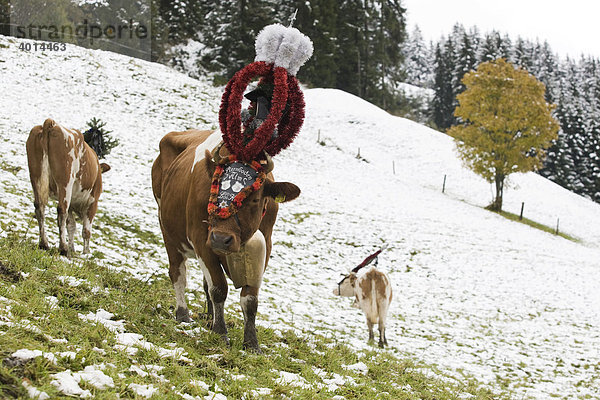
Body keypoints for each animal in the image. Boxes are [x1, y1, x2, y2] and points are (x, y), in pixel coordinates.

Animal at [25, 118, 110, 256]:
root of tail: (51, 124)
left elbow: (71, 226)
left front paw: (72, 248)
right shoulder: (93, 202)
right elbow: (86, 230)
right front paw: (86, 253)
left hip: (35, 176)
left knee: (39, 207)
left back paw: (44, 244)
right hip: (66, 182)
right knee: (61, 210)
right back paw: (63, 248)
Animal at [151, 130, 298, 352]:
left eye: (255, 199)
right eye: (215, 191)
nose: (221, 239)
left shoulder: (265, 248)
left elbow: (249, 299)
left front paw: (251, 343)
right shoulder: (202, 241)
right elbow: (218, 288)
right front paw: (220, 333)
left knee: (204, 283)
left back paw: (209, 318)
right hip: (169, 233)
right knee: (178, 274)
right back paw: (183, 314)